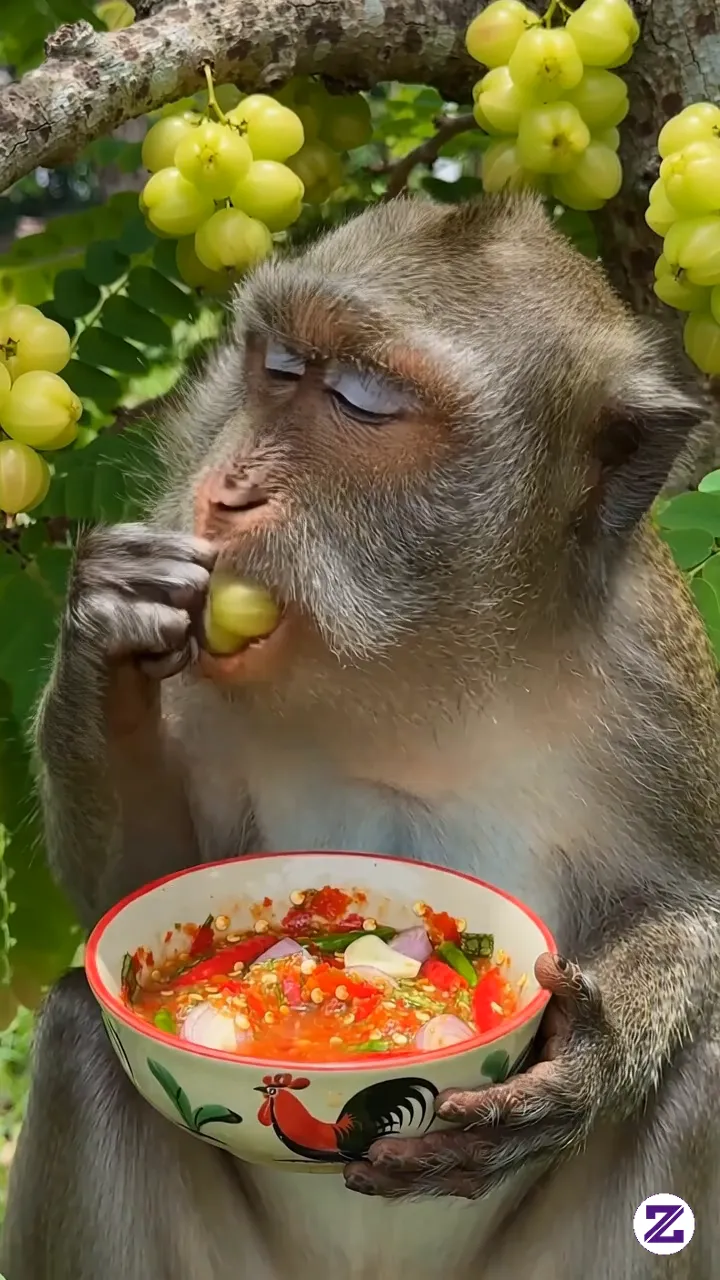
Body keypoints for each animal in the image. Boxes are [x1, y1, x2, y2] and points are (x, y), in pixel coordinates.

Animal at [3, 190, 720, 1280]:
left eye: (362, 399)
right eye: (278, 368)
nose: (228, 492)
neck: (426, 655)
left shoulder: (655, 673)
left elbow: (689, 901)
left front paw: (585, 1064)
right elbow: (136, 884)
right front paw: (109, 618)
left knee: (703, 1068)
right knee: (85, 1027)